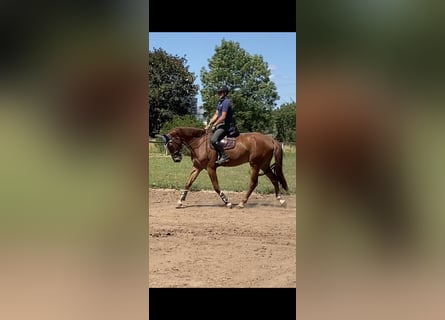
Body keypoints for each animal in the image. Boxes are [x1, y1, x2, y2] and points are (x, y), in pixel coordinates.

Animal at [160, 126, 288, 209]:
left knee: (253, 183)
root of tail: (270, 139)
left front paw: (227, 202)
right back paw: (281, 200)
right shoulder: (197, 167)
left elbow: (216, 186)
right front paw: (180, 202)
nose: (176, 159)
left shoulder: (211, 168)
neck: (199, 142)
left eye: (170, 144)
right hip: (264, 165)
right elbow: (188, 183)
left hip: (255, 165)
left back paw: (242, 203)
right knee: (274, 179)